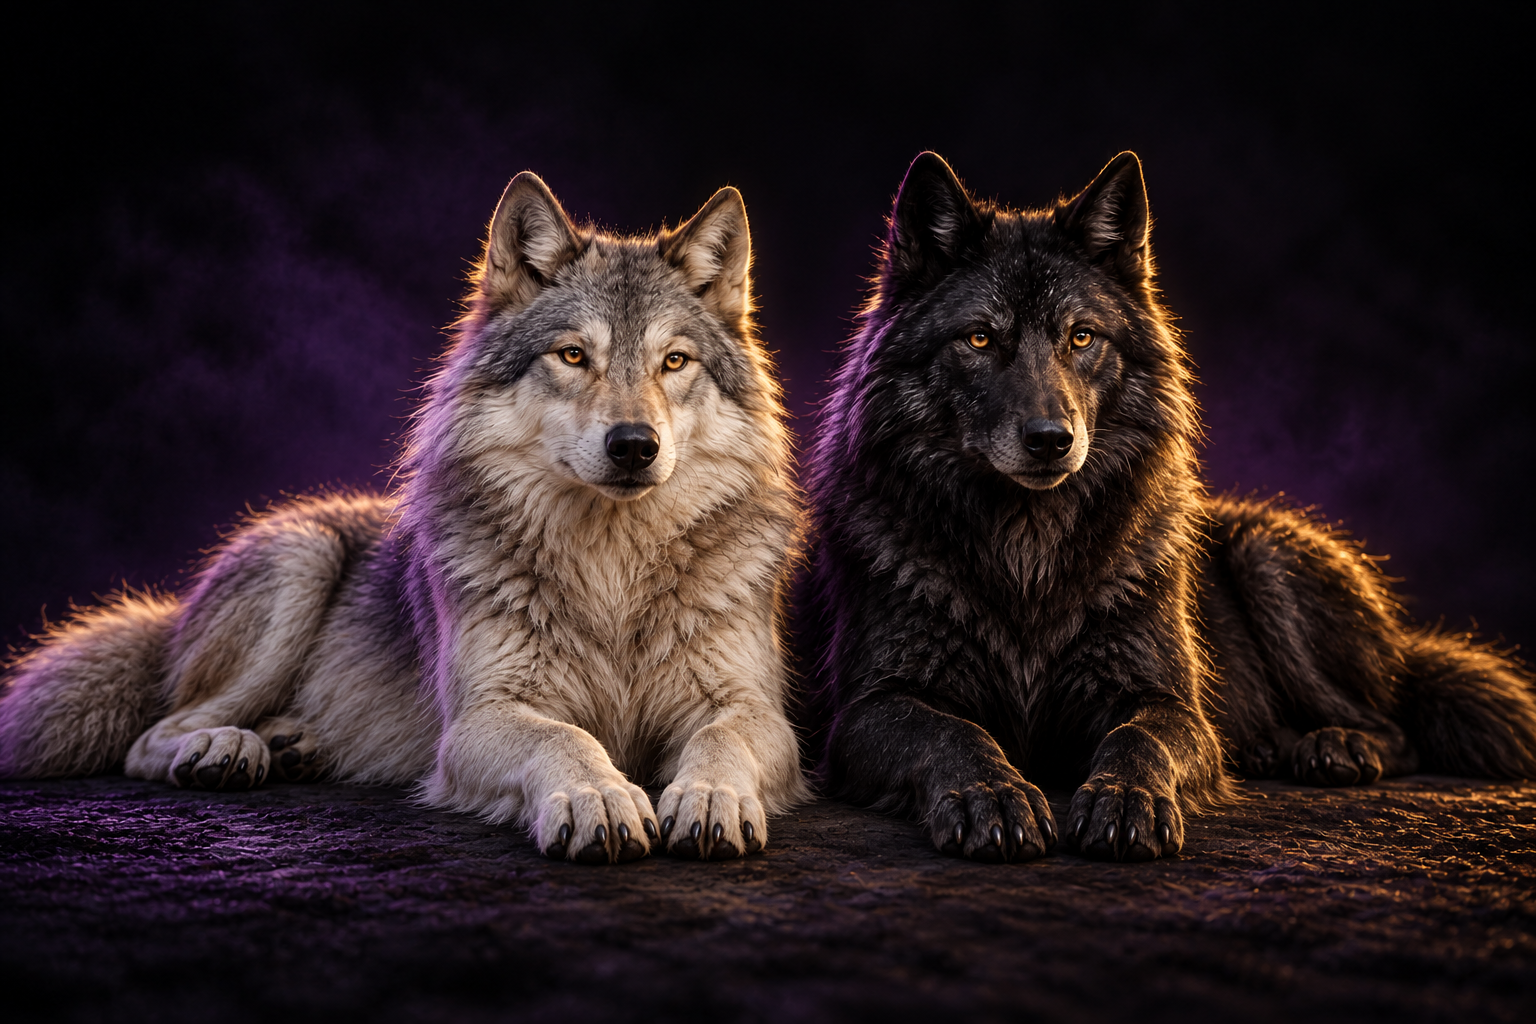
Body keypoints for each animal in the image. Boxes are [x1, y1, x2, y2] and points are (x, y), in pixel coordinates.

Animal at [0, 172, 808, 863]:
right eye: (574, 355)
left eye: (675, 362)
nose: (635, 446)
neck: (612, 570)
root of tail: (170, 618)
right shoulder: (480, 719)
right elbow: (567, 741)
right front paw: (599, 799)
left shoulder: (754, 709)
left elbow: (723, 742)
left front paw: (708, 796)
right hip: (301, 557)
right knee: (153, 736)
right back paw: (230, 749)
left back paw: (296, 745)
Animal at [802, 151, 1536, 863]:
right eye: (980, 339)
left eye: (1081, 338)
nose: (1050, 439)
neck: (1027, 555)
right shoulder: (870, 708)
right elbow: (954, 734)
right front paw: (993, 796)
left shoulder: (1167, 701)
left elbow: (1140, 739)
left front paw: (1126, 800)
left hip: (1265, 555)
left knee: (1396, 723)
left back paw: (1335, 746)